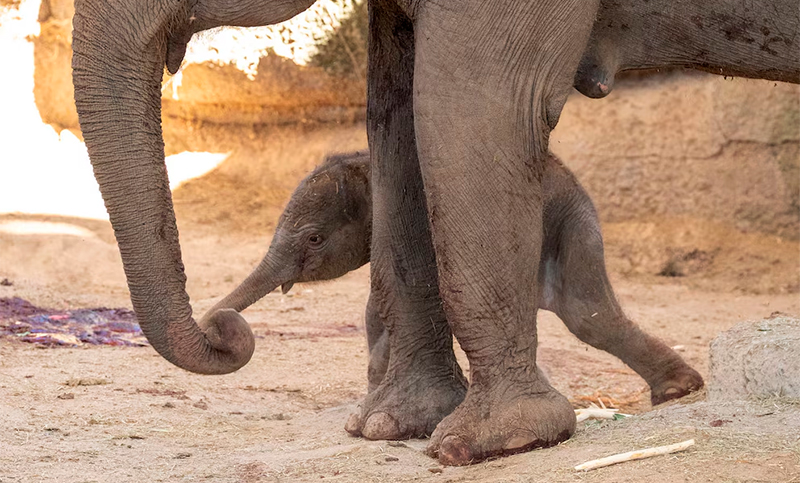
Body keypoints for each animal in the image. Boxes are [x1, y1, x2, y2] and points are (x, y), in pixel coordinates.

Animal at [204, 150, 703, 403]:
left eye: (313, 239)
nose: (219, 326)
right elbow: (378, 305)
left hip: (570, 221)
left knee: (587, 314)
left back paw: (678, 390)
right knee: (584, 313)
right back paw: (676, 389)